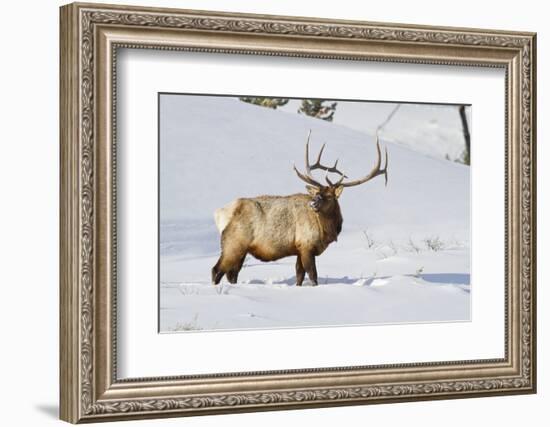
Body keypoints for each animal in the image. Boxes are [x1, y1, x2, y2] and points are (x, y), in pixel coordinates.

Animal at [211, 130, 388, 284]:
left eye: (329, 196)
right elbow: (313, 275)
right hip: (234, 242)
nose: (313, 203)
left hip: (240, 248)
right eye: (317, 192)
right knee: (217, 270)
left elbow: (299, 275)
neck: (328, 231)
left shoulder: (299, 249)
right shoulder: (306, 246)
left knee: (232, 273)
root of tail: (219, 214)